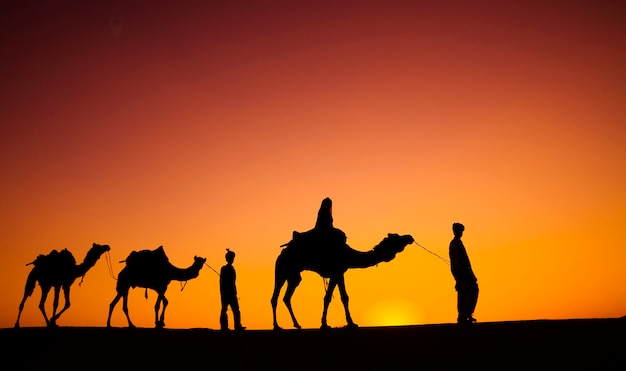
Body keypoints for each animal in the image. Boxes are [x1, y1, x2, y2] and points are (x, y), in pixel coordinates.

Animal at [270, 232, 412, 332]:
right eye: (396, 238)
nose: (409, 237)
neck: (348, 255)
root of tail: (282, 252)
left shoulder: (339, 273)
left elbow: (342, 297)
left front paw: (346, 323)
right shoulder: (336, 272)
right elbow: (332, 297)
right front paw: (328, 324)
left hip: (294, 276)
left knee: (286, 297)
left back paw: (297, 324)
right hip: (281, 271)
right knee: (275, 297)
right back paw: (277, 326)